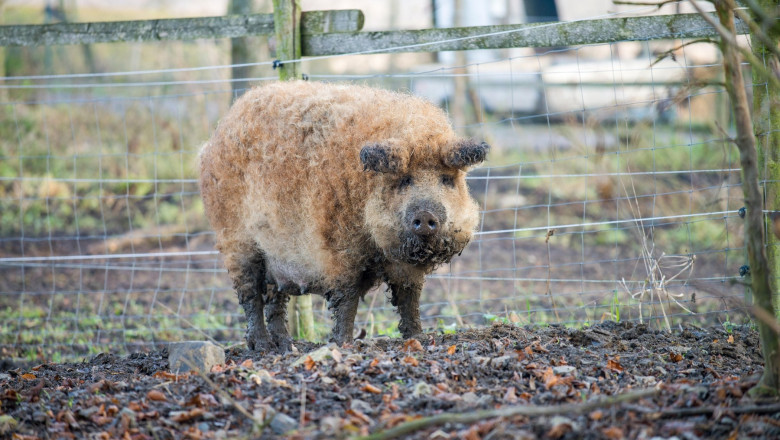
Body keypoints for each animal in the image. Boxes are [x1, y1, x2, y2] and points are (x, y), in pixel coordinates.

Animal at [198, 81, 488, 352]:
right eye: (404, 180)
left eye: (447, 180)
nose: (426, 215)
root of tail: (215, 138)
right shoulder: (339, 247)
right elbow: (346, 299)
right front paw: (343, 344)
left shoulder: (406, 267)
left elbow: (409, 298)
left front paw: (418, 339)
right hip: (236, 240)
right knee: (249, 296)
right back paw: (262, 347)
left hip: (274, 255)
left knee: (274, 300)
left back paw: (286, 347)